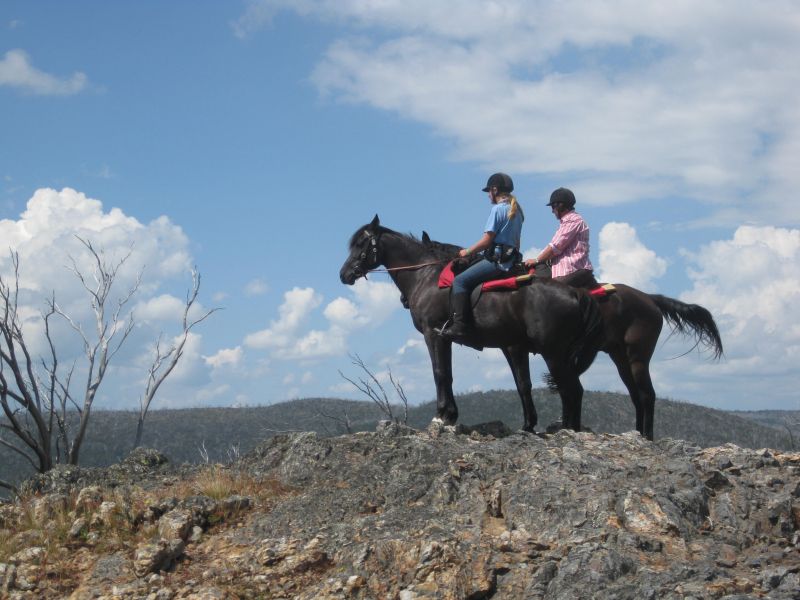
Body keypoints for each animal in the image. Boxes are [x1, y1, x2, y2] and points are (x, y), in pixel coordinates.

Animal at [340, 216, 608, 432]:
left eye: (361, 244)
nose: (344, 274)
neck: (425, 278)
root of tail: (576, 293)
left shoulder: (433, 334)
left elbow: (440, 373)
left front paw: (442, 415)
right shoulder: (500, 345)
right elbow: (455, 375)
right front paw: (451, 415)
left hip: (553, 352)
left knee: (571, 389)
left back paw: (568, 430)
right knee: (571, 389)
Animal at [418, 232, 724, 438]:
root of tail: (650, 299)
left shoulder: (445, 336)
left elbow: (443, 373)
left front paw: (444, 415)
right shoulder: (513, 346)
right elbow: (524, 384)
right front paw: (532, 424)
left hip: (634, 356)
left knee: (642, 394)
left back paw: (642, 435)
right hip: (618, 357)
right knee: (630, 394)